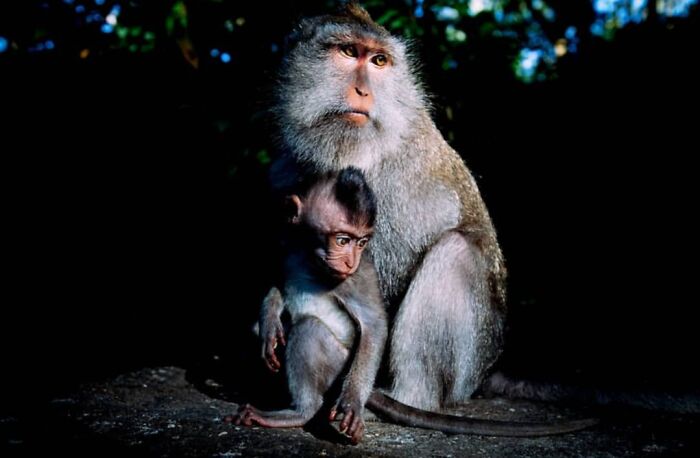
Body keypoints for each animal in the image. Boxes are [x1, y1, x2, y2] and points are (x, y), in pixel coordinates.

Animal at [232, 167, 595, 443]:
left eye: (362, 242)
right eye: (342, 239)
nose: (350, 260)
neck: (311, 260)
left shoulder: (355, 278)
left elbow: (374, 324)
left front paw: (351, 404)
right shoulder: (287, 243)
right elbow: (277, 281)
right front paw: (269, 322)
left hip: (338, 365)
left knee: (310, 330)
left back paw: (300, 412)